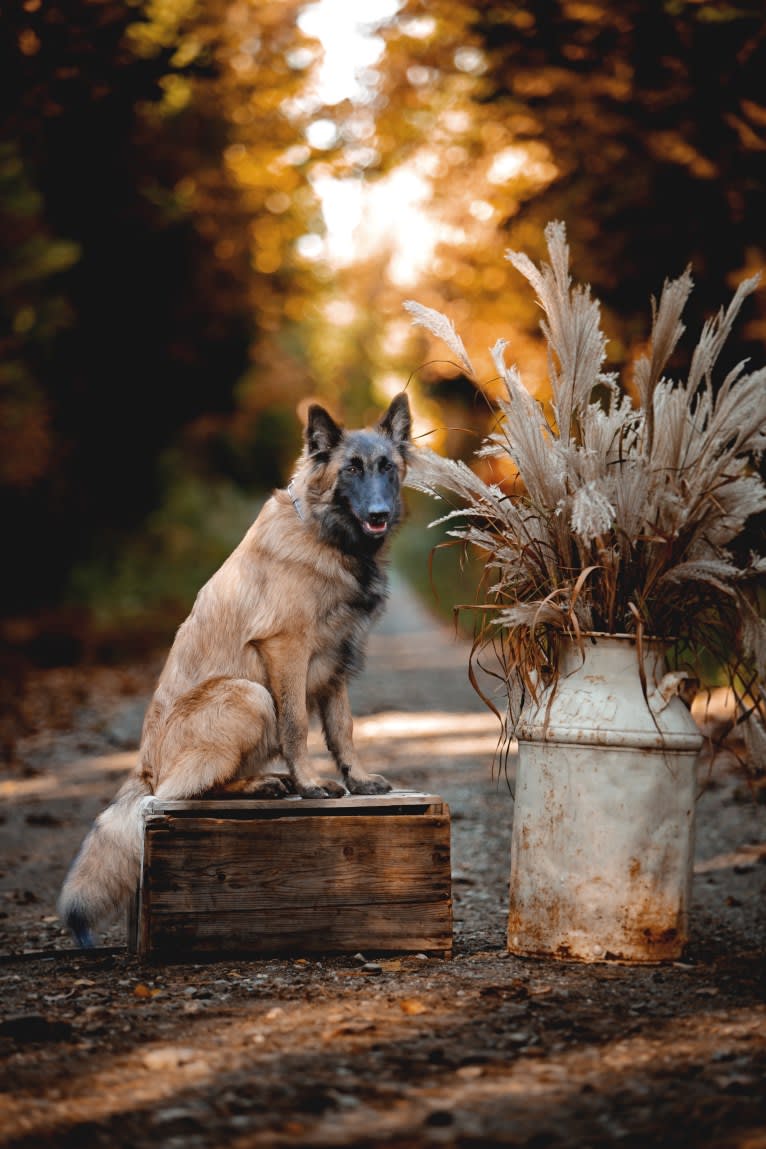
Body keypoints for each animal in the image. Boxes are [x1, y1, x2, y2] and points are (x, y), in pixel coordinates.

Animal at [59, 390, 413, 946]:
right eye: (351, 469)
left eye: (387, 469)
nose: (379, 512)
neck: (324, 535)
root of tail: (144, 768)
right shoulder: (287, 650)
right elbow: (298, 727)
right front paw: (311, 784)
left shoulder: (336, 662)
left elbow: (343, 730)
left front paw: (356, 780)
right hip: (249, 693)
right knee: (181, 793)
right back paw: (266, 785)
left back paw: (267, 782)